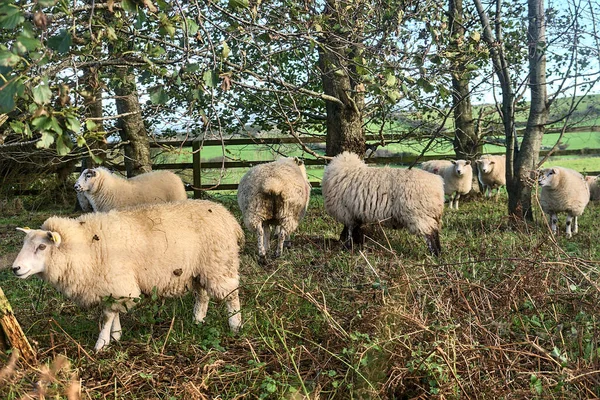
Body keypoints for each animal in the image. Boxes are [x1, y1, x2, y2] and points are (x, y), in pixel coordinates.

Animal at [10, 200, 244, 350]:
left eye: (42, 247)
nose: (15, 268)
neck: (85, 245)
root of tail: (228, 216)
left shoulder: (115, 281)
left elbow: (106, 316)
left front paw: (101, 344)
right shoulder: (112, 286)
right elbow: (112, 311)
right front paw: (116, 335)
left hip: (219, 262)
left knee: (232, 295)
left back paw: (235, 326)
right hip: (199, 269)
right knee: (202, 295)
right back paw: (197, 320)